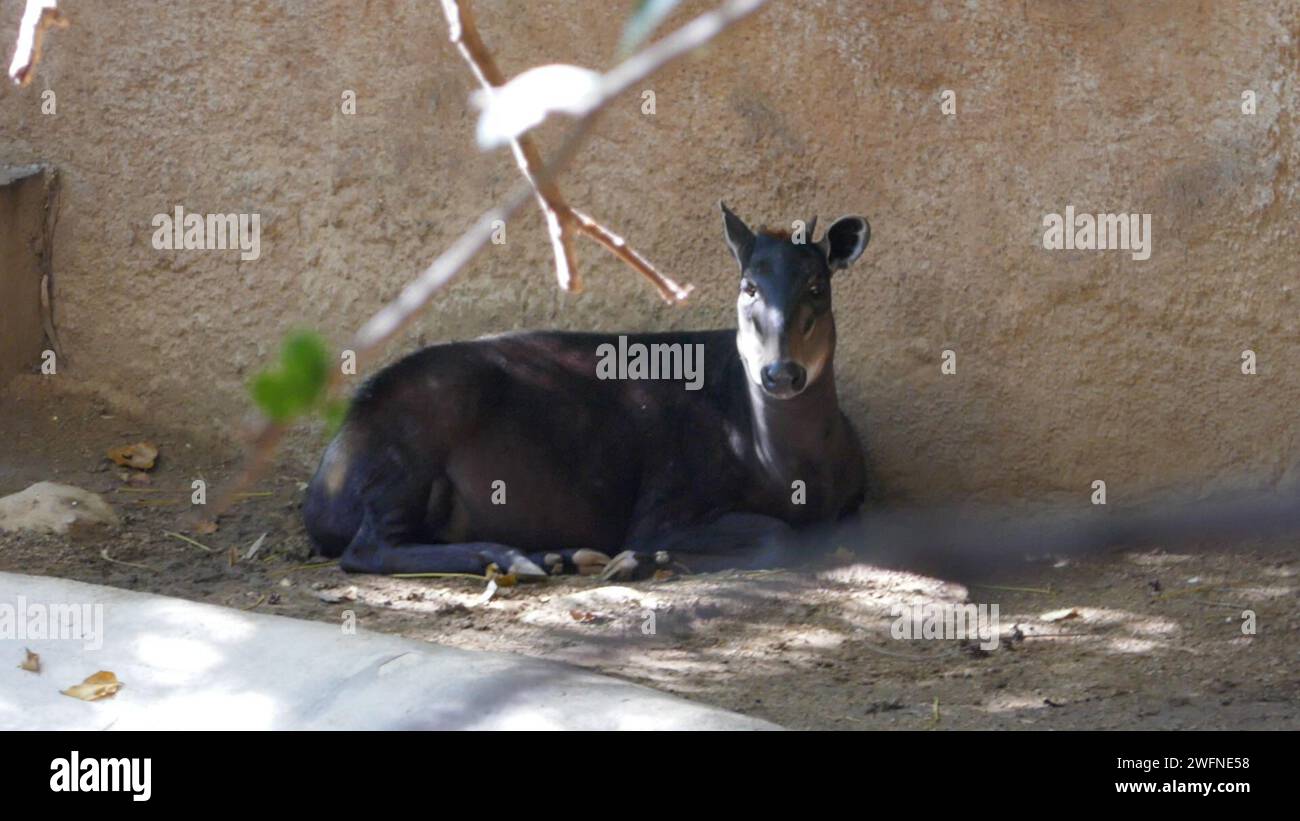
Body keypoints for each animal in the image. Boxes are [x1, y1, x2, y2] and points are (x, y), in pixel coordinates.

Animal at [302, 202, 868, 579]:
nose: (780, 373)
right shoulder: (667, 500)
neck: (785, 464)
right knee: (367, 548)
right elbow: (778, 534)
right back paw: (520, 558)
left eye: (817, 285)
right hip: (416, 435)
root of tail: (323, 480)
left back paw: (556, 555)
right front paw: (638, 560)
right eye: (748, 286)